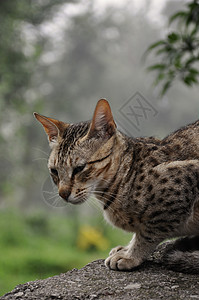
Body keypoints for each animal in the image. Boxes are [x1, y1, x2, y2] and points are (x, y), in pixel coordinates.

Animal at [34, 99, 199, 274]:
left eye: (79, 168)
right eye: (54, 171)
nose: (63, 194)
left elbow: (149, 232)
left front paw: (131, 255)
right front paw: (127, 249)